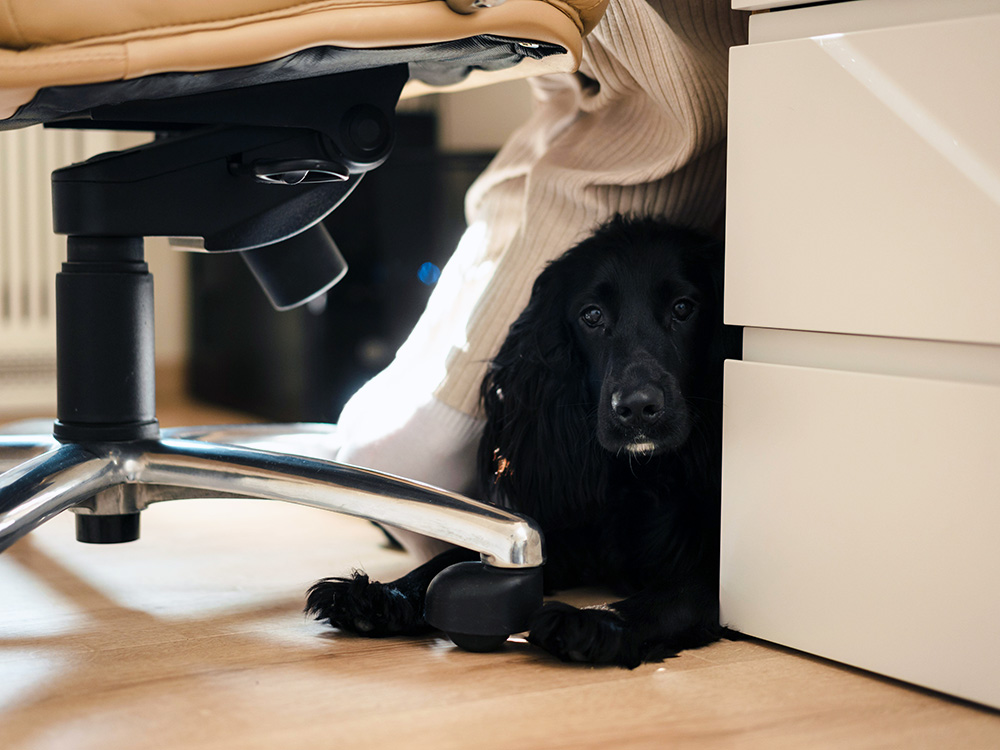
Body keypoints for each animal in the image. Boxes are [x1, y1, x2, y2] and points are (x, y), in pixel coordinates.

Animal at [304, 217, 736, 668]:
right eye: (592, 315)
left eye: (683, 308)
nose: (636, 408)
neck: (640, 478)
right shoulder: (557, 534)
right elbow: (455, 554)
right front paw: (383, 595)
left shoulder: (716, 568)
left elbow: (674, 595)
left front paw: (597, 622)